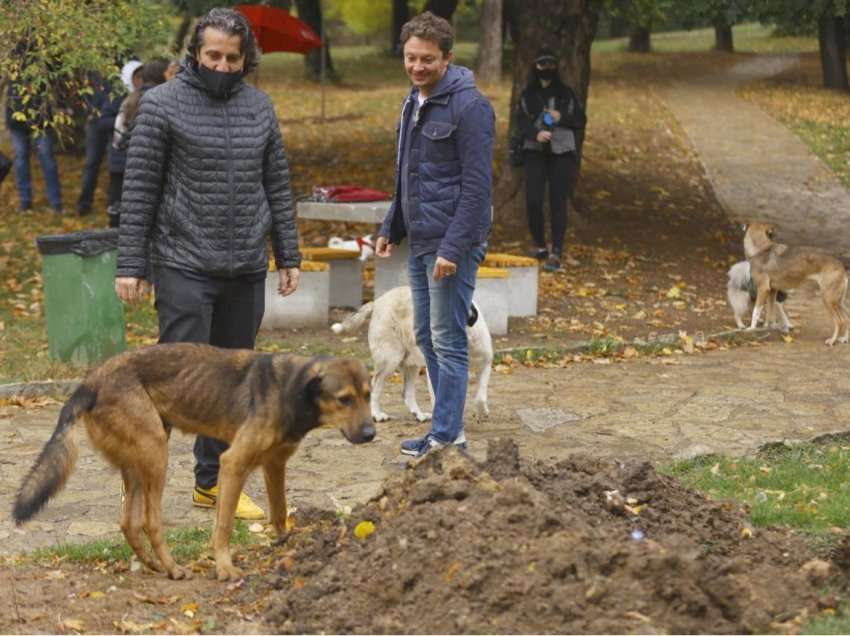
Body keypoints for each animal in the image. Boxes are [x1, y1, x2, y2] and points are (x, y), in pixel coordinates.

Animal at [11, 342, 372, 580]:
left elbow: (280, 511)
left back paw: (154, 565)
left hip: (138, 461)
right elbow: (224, 524)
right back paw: (172, 568)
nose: (371, 434)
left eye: (369, 395)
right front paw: (225, 568)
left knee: (128, 522)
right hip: (156, 452)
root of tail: (90, 381)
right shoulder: (233, 463)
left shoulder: (275, 464)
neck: (292, 389)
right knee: (150, 522)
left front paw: (284, 544)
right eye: (344, 399)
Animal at [330, 286, 494, 422]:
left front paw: (481, 411)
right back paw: (377, 414)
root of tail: (377, 302)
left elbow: (481, 396)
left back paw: (419, 415)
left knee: (407, 393)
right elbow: (439, 397)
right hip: (390, 360)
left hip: (411, 365)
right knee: (375, 384)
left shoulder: (485, 363)